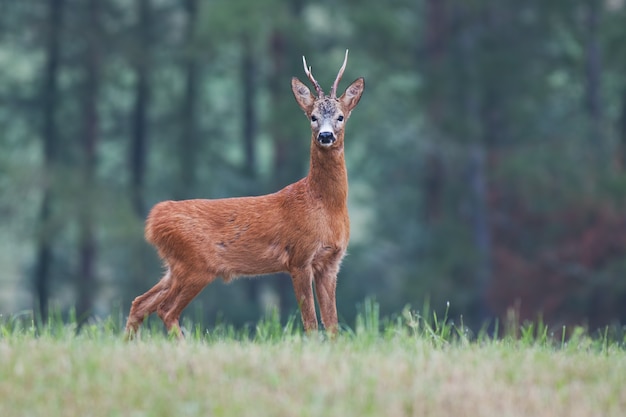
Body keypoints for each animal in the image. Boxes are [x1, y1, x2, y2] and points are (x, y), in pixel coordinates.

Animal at [124, 49, 364, 338]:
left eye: (340, 116)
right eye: (312, 117)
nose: (326, 136)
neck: (323, 205)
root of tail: (154, 220)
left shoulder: (330, 262)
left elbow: (332, 324)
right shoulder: (299, 257)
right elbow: (310, 322)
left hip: (176, 266)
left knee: (140, 302)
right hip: (196, 265)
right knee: (166, 310)